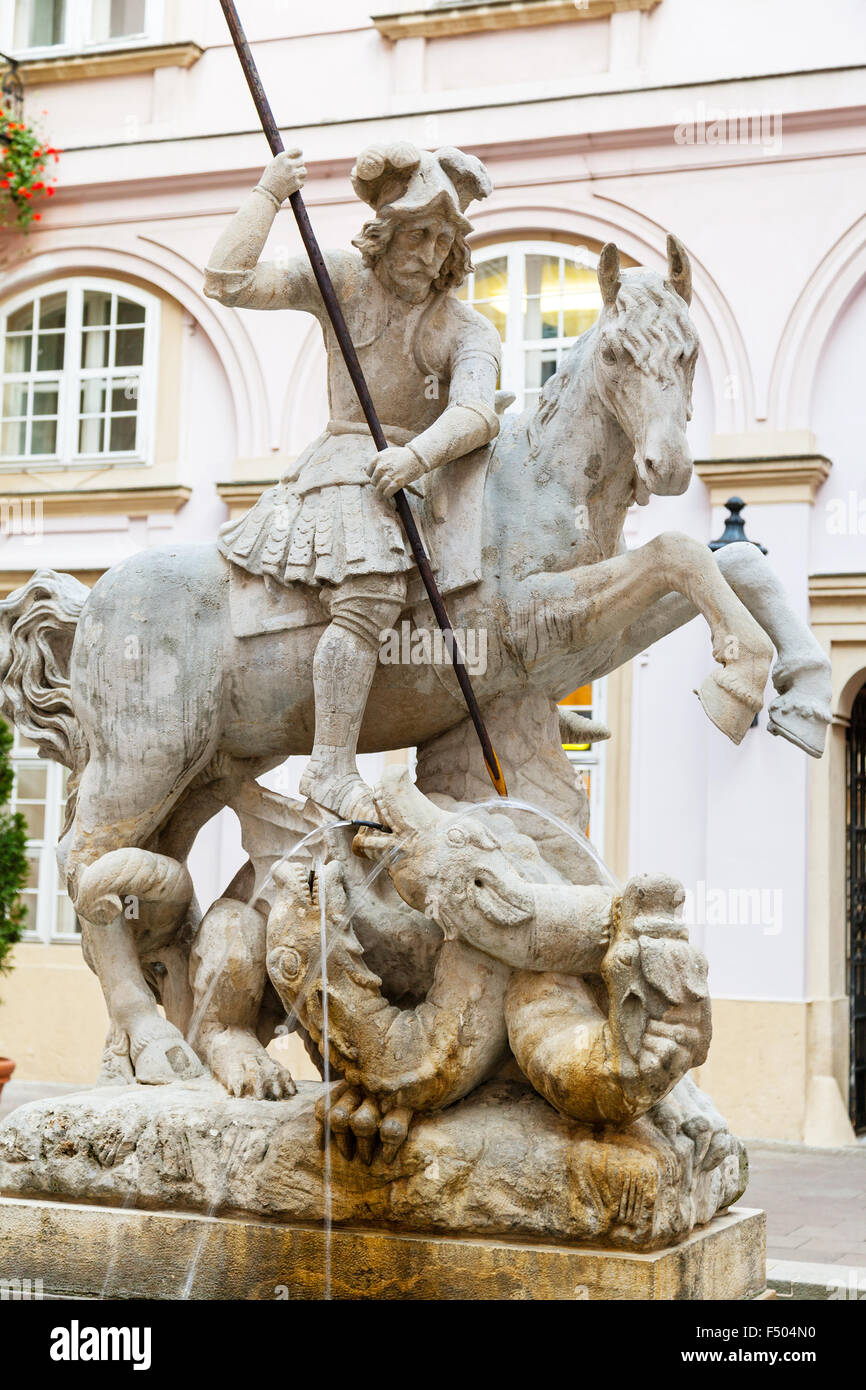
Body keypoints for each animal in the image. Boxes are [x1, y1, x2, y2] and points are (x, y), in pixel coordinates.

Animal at [0, 236, 834, 1084]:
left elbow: (729, 561)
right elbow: (679, 551)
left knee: (139, 875)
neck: (536, 485)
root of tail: (91, 602)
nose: (668, 467)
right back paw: (159, 1042)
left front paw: (799, 689)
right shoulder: (537, 622)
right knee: (83, 867)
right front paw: (739, 681)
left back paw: (164, 1049)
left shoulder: (555, 659)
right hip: (142, 763)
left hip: (195, 777)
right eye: (619, 354)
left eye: (688, 351)